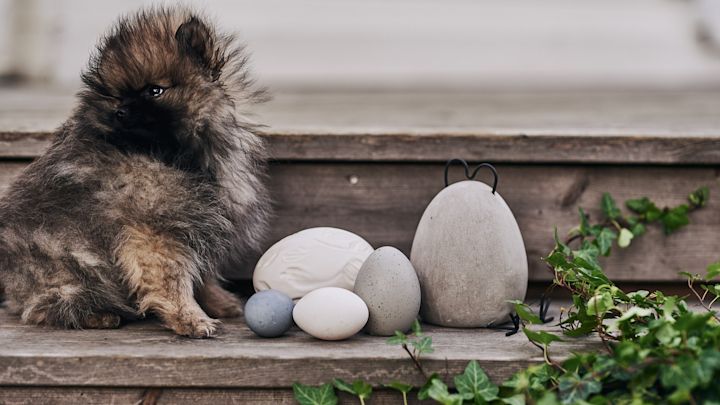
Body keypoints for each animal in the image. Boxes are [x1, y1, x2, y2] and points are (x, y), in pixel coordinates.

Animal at [0, 7, 270, 338]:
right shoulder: (155, 232)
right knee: (42, 306)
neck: (178, 156)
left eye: (155, 90)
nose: (120, 112)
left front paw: (218, 303)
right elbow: (172, 281)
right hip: (69, 267)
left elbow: (202, 275)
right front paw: (191, 319)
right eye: (118, 96)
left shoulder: (196, 226)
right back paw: (98, 315)